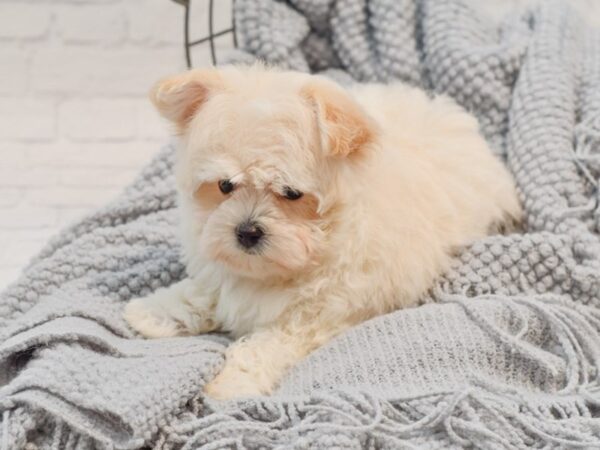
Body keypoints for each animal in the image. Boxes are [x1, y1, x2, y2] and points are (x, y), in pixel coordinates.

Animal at [123, 64, 520, 400]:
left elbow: (266, 345)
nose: (247, 232)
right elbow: (200, 293)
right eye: (224, 185)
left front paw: (231, 383)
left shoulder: (313, 315)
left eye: (291, 193)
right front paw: (150, 313)